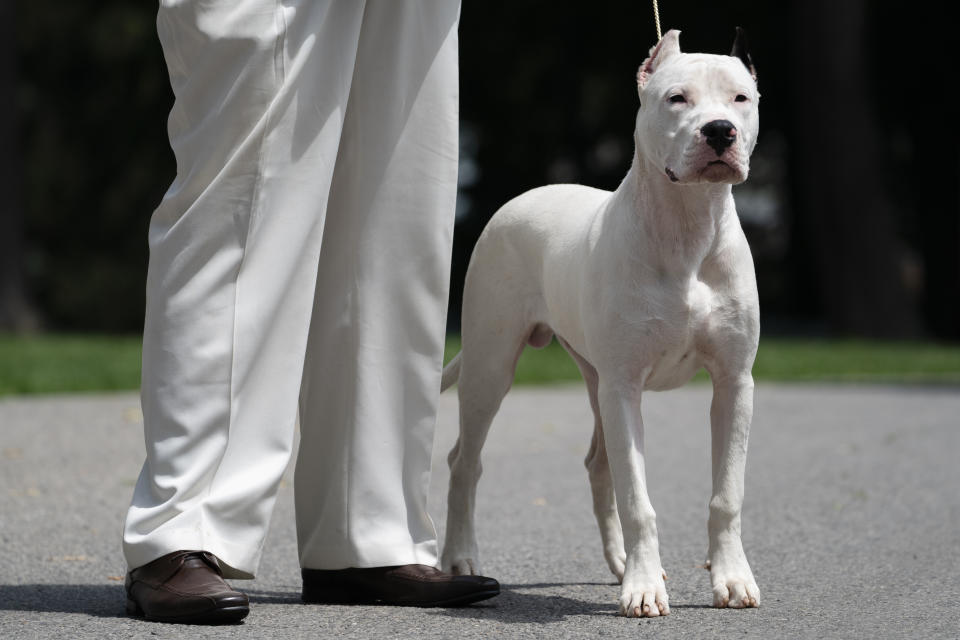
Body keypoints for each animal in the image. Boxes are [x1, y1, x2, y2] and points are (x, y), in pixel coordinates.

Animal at [442, 27, 764, 616]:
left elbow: (726, 493)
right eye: (676, 98)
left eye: (740, 98)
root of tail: (529, 194)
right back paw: (460, 558)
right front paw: (645, 589)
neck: (687, 226)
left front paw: (730, 579)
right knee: (464, 461)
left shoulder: (734, 383)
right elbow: (638, 498)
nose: (719, 130)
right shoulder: (624, 386)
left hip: (595, 379)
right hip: (492, 366)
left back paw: (620, 564)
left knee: (598, 462)